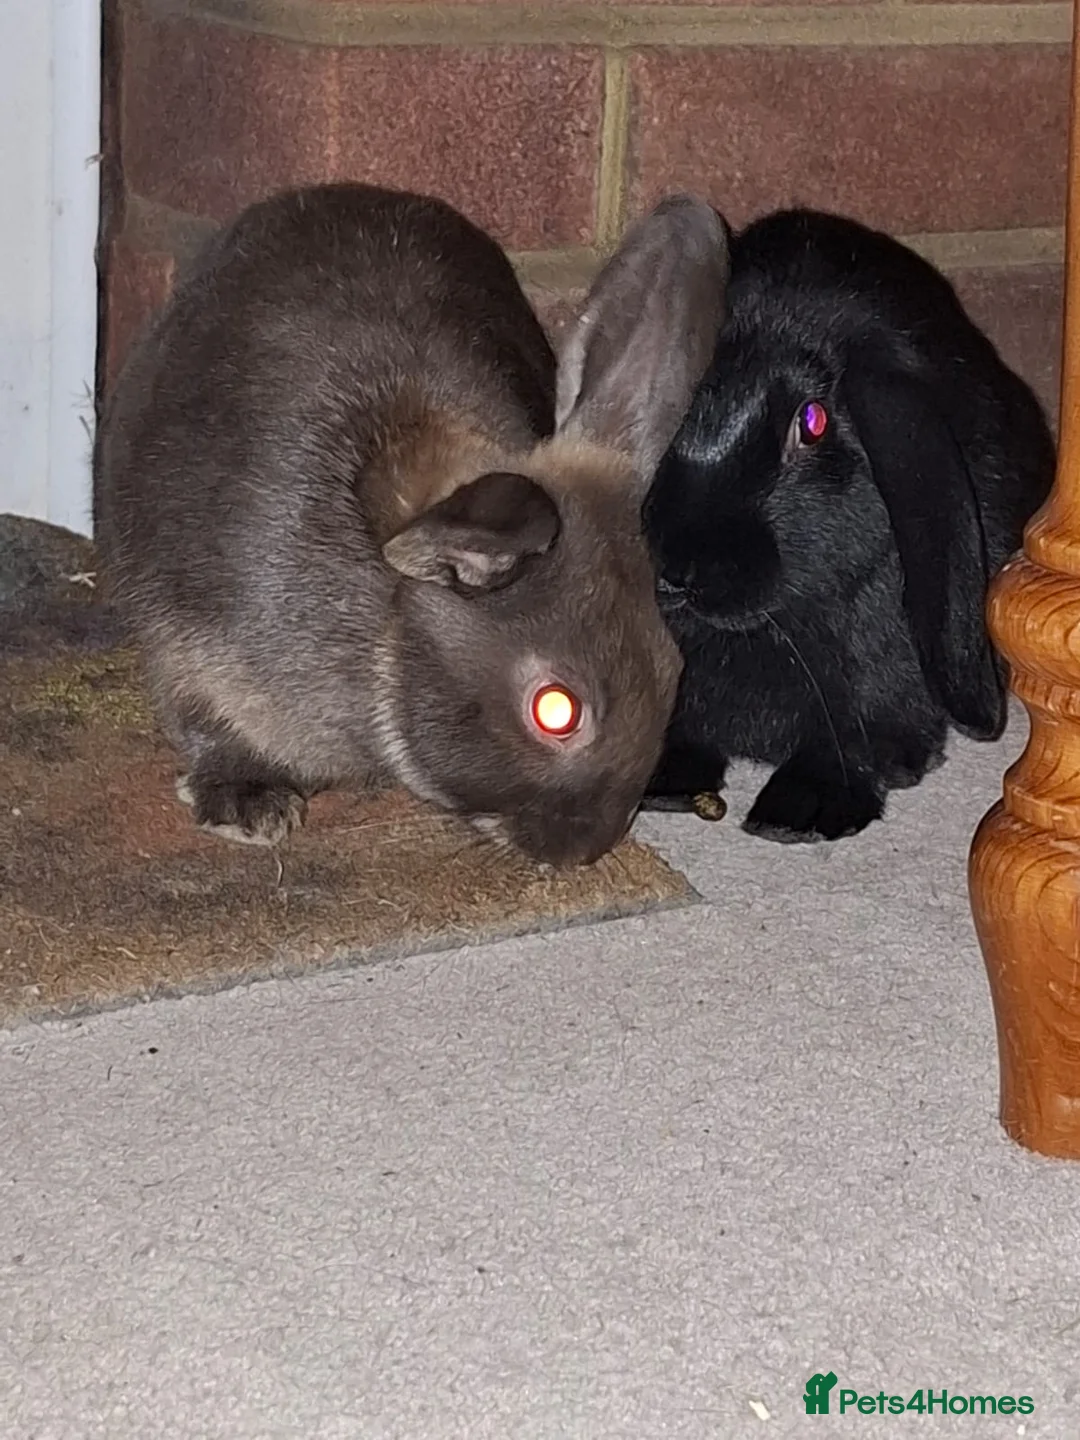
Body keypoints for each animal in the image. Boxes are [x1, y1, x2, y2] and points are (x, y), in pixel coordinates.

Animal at [94, 183, 730, 868]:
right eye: (556, 710)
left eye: (672, 668)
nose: (583, 848)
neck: (389, 620)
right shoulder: (189, 644)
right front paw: (248, 807)